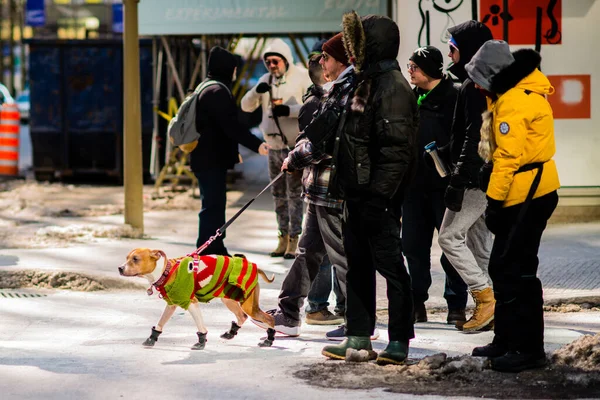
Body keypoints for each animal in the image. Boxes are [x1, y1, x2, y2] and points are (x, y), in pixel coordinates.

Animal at [120, 247, 278, 350]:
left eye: (135, 259)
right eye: (126, 258)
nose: (120, 268)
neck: (166, 271)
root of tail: (255, 267)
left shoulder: (191, 302)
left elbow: (200, 326)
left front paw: (201, 341)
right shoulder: (171, 305)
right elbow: (160, 323)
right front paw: (152, 338)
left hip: (249, 306)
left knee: (269, 319)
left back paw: (269, 340)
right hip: (229, 299)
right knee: (242, 316)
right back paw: (231, 333)